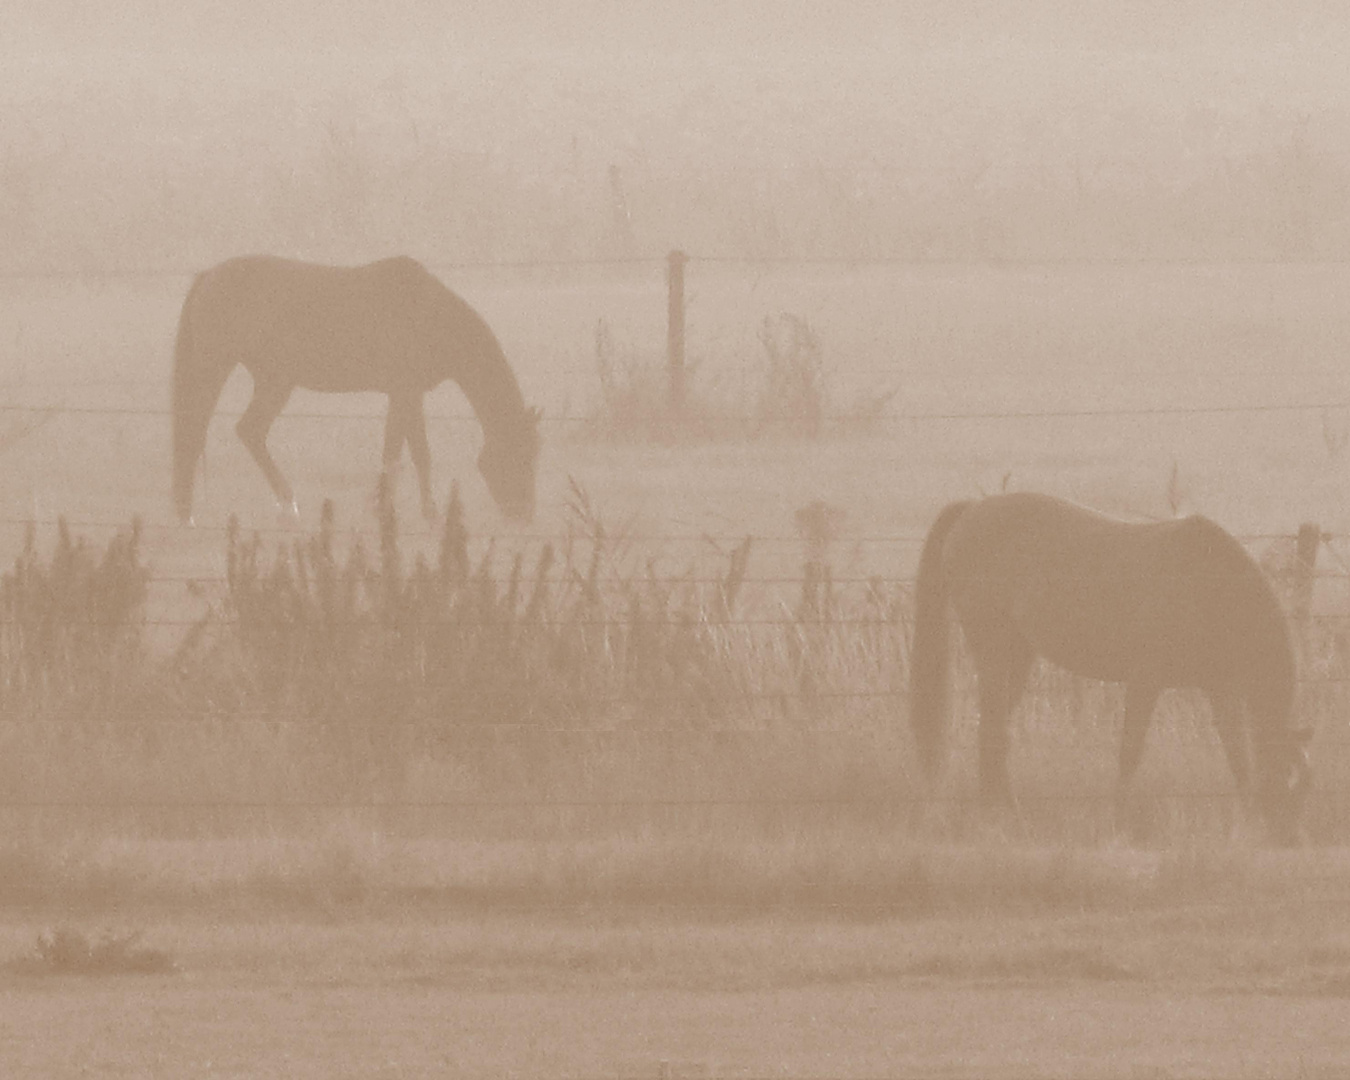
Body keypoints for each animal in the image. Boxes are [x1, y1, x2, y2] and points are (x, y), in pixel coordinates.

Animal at [171, 253, 540, 523]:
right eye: (521, 453)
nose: (524, 514)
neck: (429, 315)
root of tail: (209, 276)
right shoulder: (406, 391)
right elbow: (409, 453)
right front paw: (411, 511)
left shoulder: (404, 394)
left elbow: (403, 452)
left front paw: (399, 508)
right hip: (217, 369)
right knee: (195, 433)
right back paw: (189, 514)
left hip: (275, 381)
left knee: (250, 431)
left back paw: (286, 505)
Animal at [907, 491, 1306, 842]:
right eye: (1289, 782)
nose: (1293, 839)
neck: (1207, 586)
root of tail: (974, 508)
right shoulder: (1146, 682)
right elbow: (1130, 752)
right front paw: (1119, 821)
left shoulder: (1221, 690)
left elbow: (1238, 757)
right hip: (993, 653)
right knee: (993, 733)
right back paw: (1005, 817)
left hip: (1016, 657)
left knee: (992, 734)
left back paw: (997, 813)